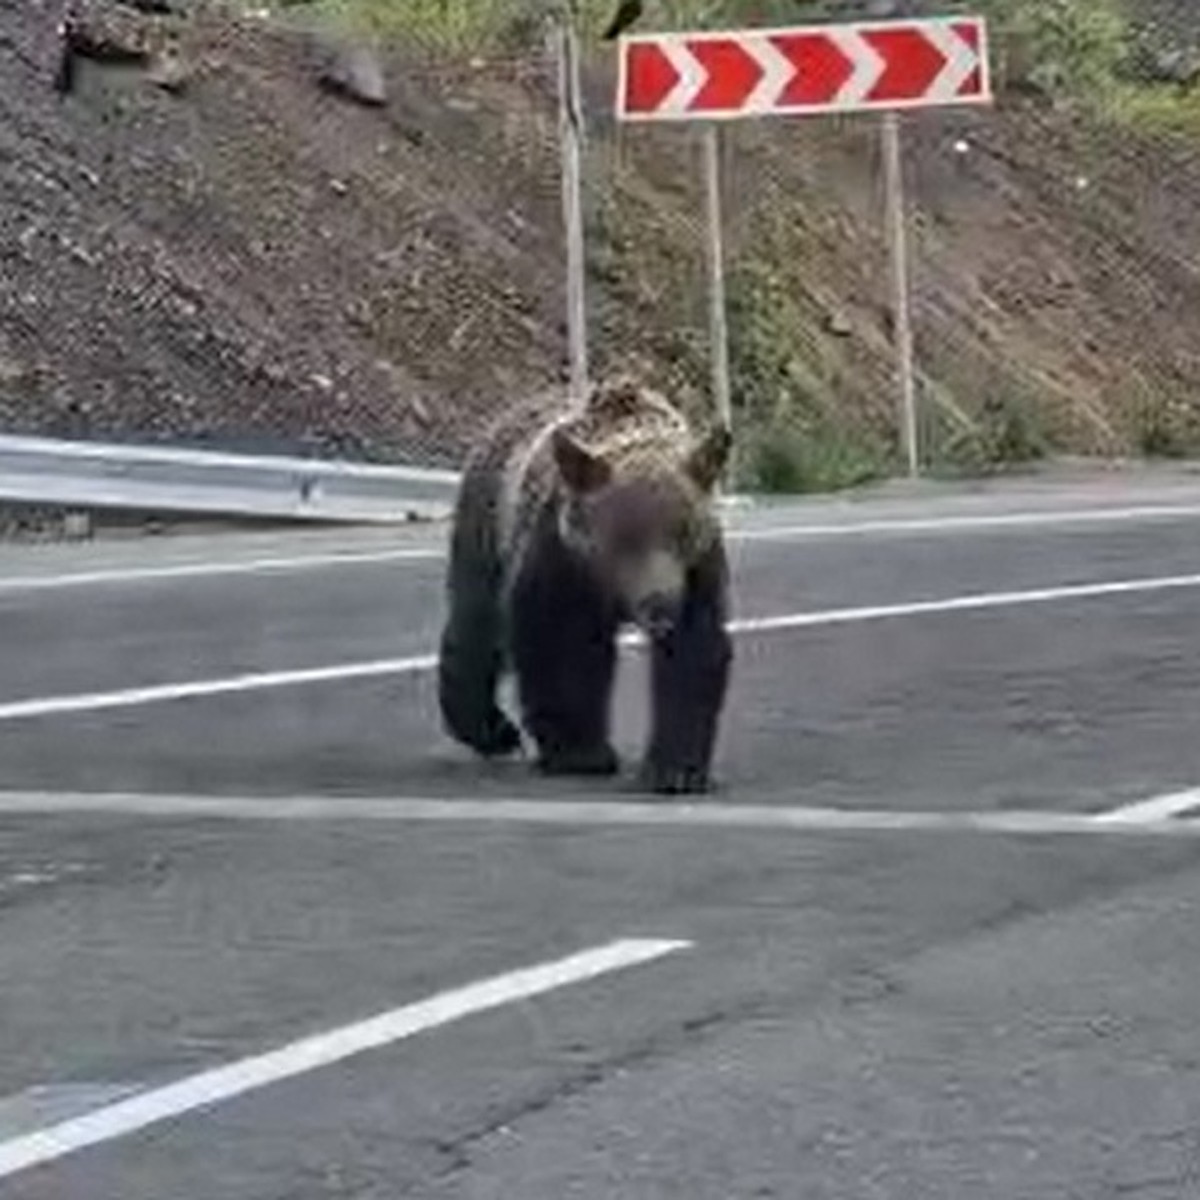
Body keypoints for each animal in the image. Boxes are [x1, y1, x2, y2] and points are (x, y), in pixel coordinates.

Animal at [439, 369, 729, 792]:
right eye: (624, 538)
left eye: (684, 532)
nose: (658, 606)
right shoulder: (562, 561)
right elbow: (562, 646)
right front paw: (581, 753)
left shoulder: (697, 572)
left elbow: (693, 654)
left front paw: (675, 770)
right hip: (487, 523)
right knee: (476, 622)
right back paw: (492, 731)